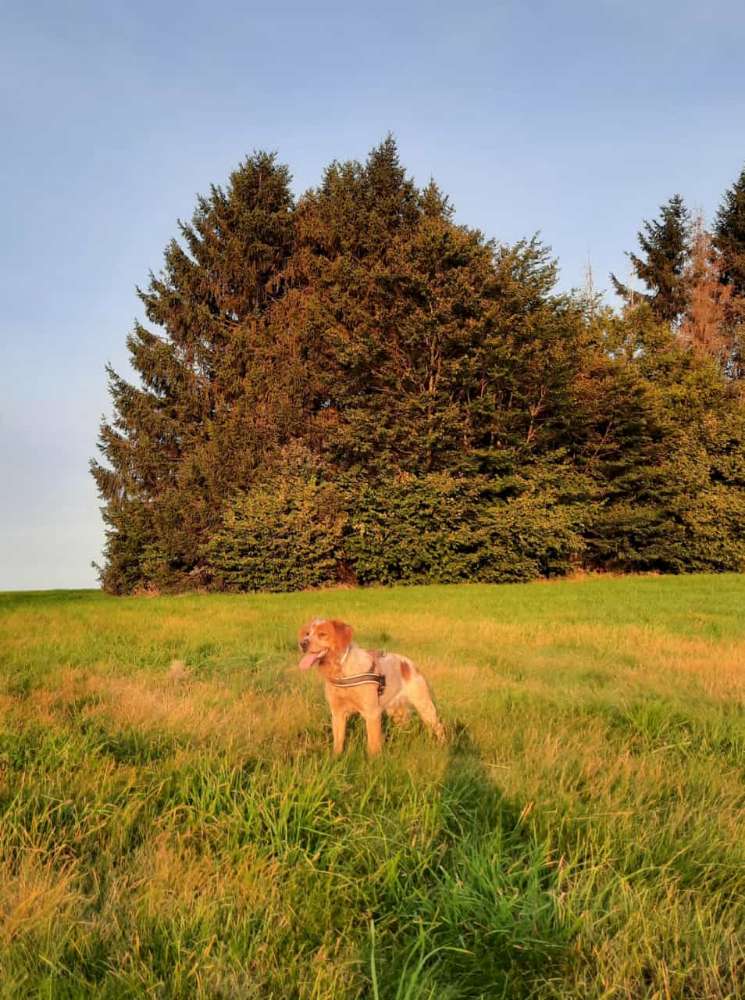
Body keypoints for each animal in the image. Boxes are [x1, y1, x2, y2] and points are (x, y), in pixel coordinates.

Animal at [296, 612, 444, 752]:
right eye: (307, 633)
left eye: (322, 634)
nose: (302, 643)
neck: (341, 670)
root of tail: (409, 664)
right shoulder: (337, 713)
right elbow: (338, 743)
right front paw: (336, 758)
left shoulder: (372, 713)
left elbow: (372, 746)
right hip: (396, 711)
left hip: (425, 707)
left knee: (439, 727)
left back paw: (442, 745)